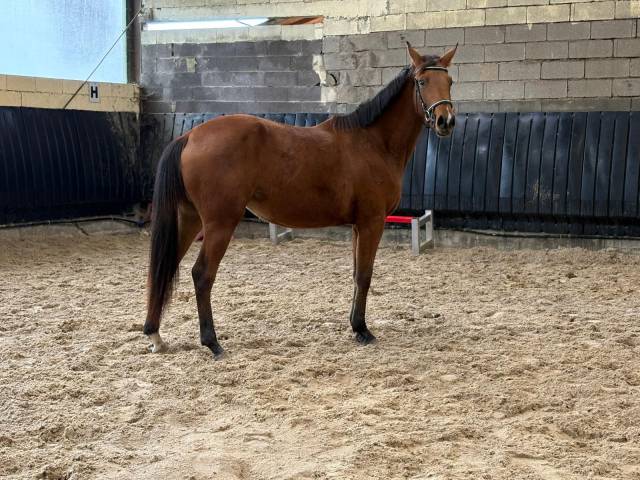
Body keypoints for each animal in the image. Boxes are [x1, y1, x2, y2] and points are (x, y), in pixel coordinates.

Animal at [144, 42, 457, 358]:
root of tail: (189, 136)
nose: (445, 120)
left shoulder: (358, 225)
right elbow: (364, 275)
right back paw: (212, 342)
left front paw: (355, 326)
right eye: (422, 81)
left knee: (163, 269)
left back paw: (155, 335)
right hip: (220, 224)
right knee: (202, 274)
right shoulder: (372, 222)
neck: (372, 141)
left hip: (188, 219)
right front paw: (362, 329)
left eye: (450, 81)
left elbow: (356, 274)